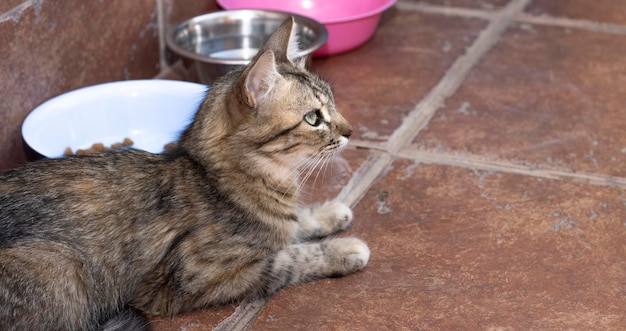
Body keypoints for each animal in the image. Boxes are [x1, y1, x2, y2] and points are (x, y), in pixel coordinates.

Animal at [0, 18, 368, 331]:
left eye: (333, 104)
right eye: (313, 118)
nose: (350, 131)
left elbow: (296, 223)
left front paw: (328, 212)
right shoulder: (201, 280)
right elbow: (288, 260)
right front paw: (344, 250)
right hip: (60, 264)